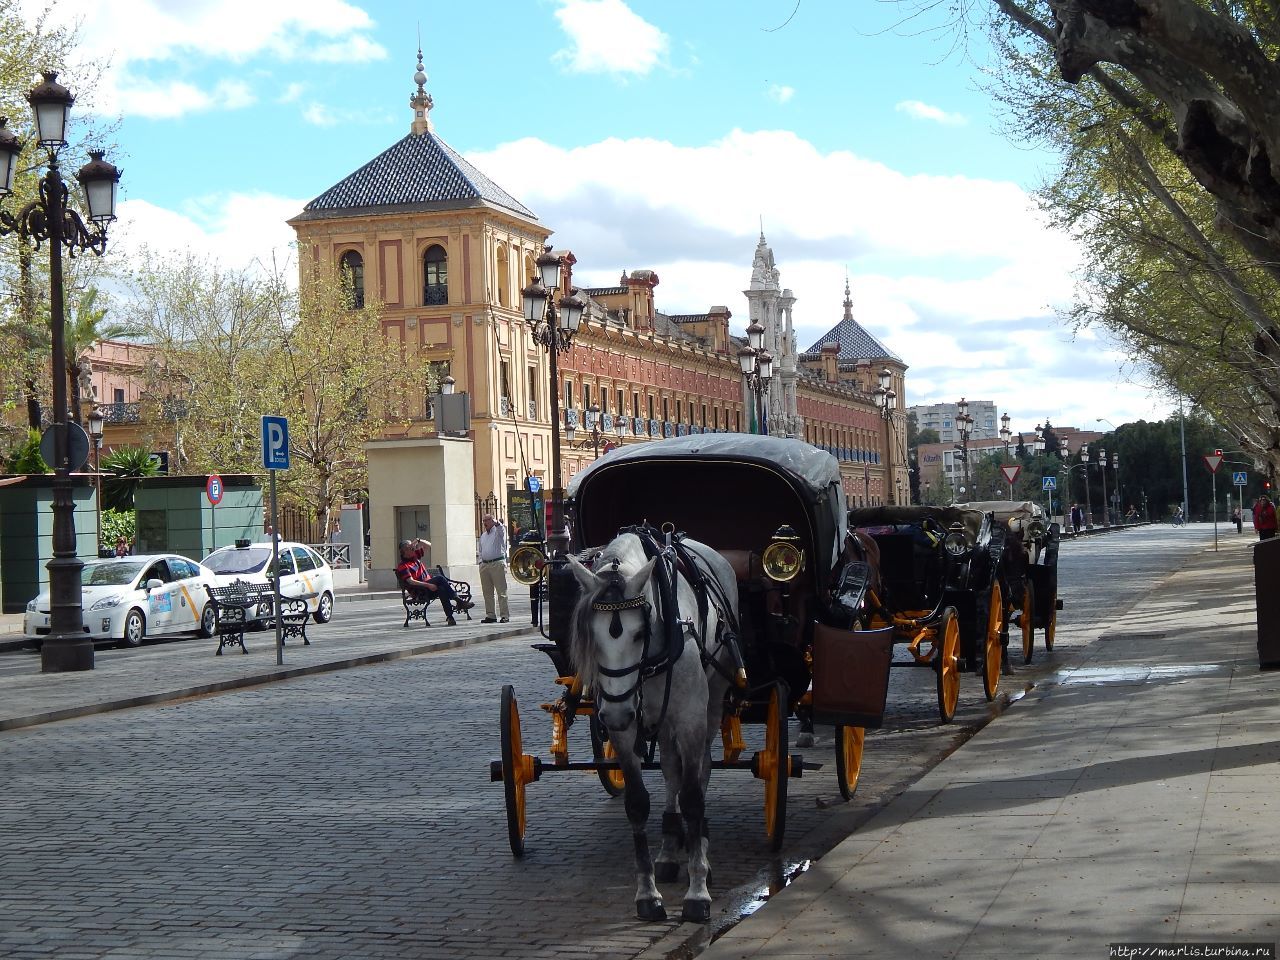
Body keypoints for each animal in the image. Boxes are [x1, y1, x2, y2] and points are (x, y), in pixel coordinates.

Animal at [565, 535, 737, 926]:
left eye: (640, 633)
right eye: (590, 634)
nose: (614, 713)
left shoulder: (690, 718)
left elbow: (693, 797)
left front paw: (697, 891)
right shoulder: (626, 732)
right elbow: (637, 803)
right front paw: (648, 894)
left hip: (711, 702)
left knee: (700, 771)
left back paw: (700, 850)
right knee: (672, 771)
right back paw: (670, 848)